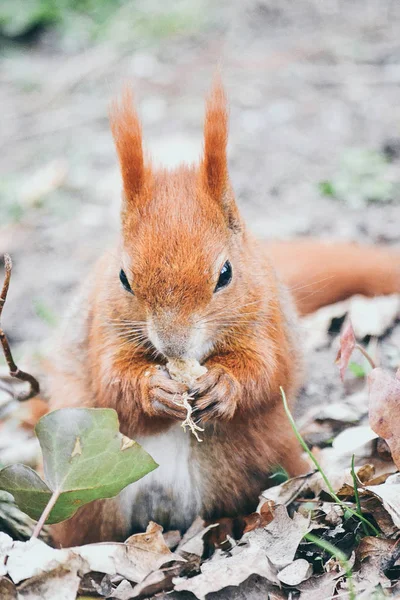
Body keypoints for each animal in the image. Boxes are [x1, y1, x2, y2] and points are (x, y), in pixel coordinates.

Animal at [49, 81, 400, 548]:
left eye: (226, 273)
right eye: (123, 277)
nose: (174, 344)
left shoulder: (266, 319)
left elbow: (267, 370)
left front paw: (224, 384)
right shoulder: (101, 327)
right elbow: (110, 380)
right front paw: (153, 388)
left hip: (254, 457)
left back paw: (233, 525)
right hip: (88, 499)